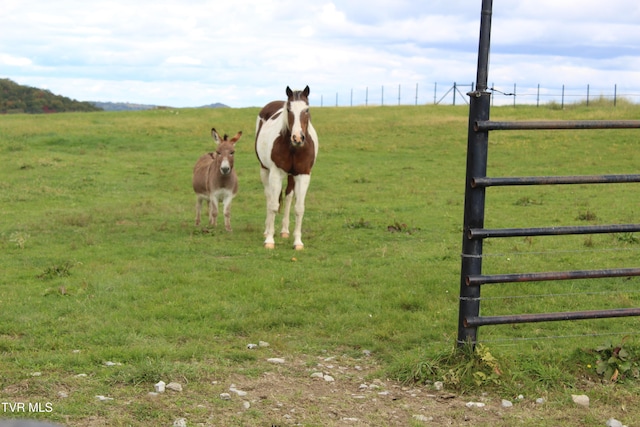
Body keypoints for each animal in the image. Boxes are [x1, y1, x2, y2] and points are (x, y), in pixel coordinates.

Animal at [252, 85, 318, 249]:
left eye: (307, 109)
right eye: (289, 109)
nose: (297, 137)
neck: (294, 147)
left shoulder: (303, 175)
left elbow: (299, 208)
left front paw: (298, 242)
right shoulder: (275, 174)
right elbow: (274, 205)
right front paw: (269, 240)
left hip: (291, 176)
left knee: (288, 197)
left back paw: (284, 230)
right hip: (265, 170)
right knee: (269, 197)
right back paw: (267, 230)